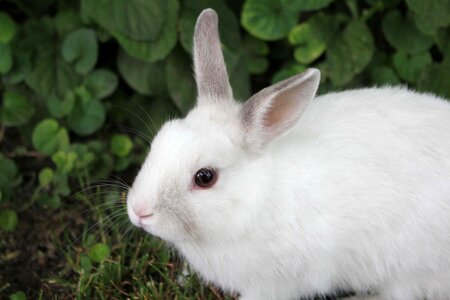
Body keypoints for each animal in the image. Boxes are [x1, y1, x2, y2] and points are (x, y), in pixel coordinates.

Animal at [125, 8, 450, 300]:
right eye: (159, 141)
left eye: (205, 177)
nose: (139, 211)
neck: (254, 202)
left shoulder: (274, 285)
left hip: (407, 267)